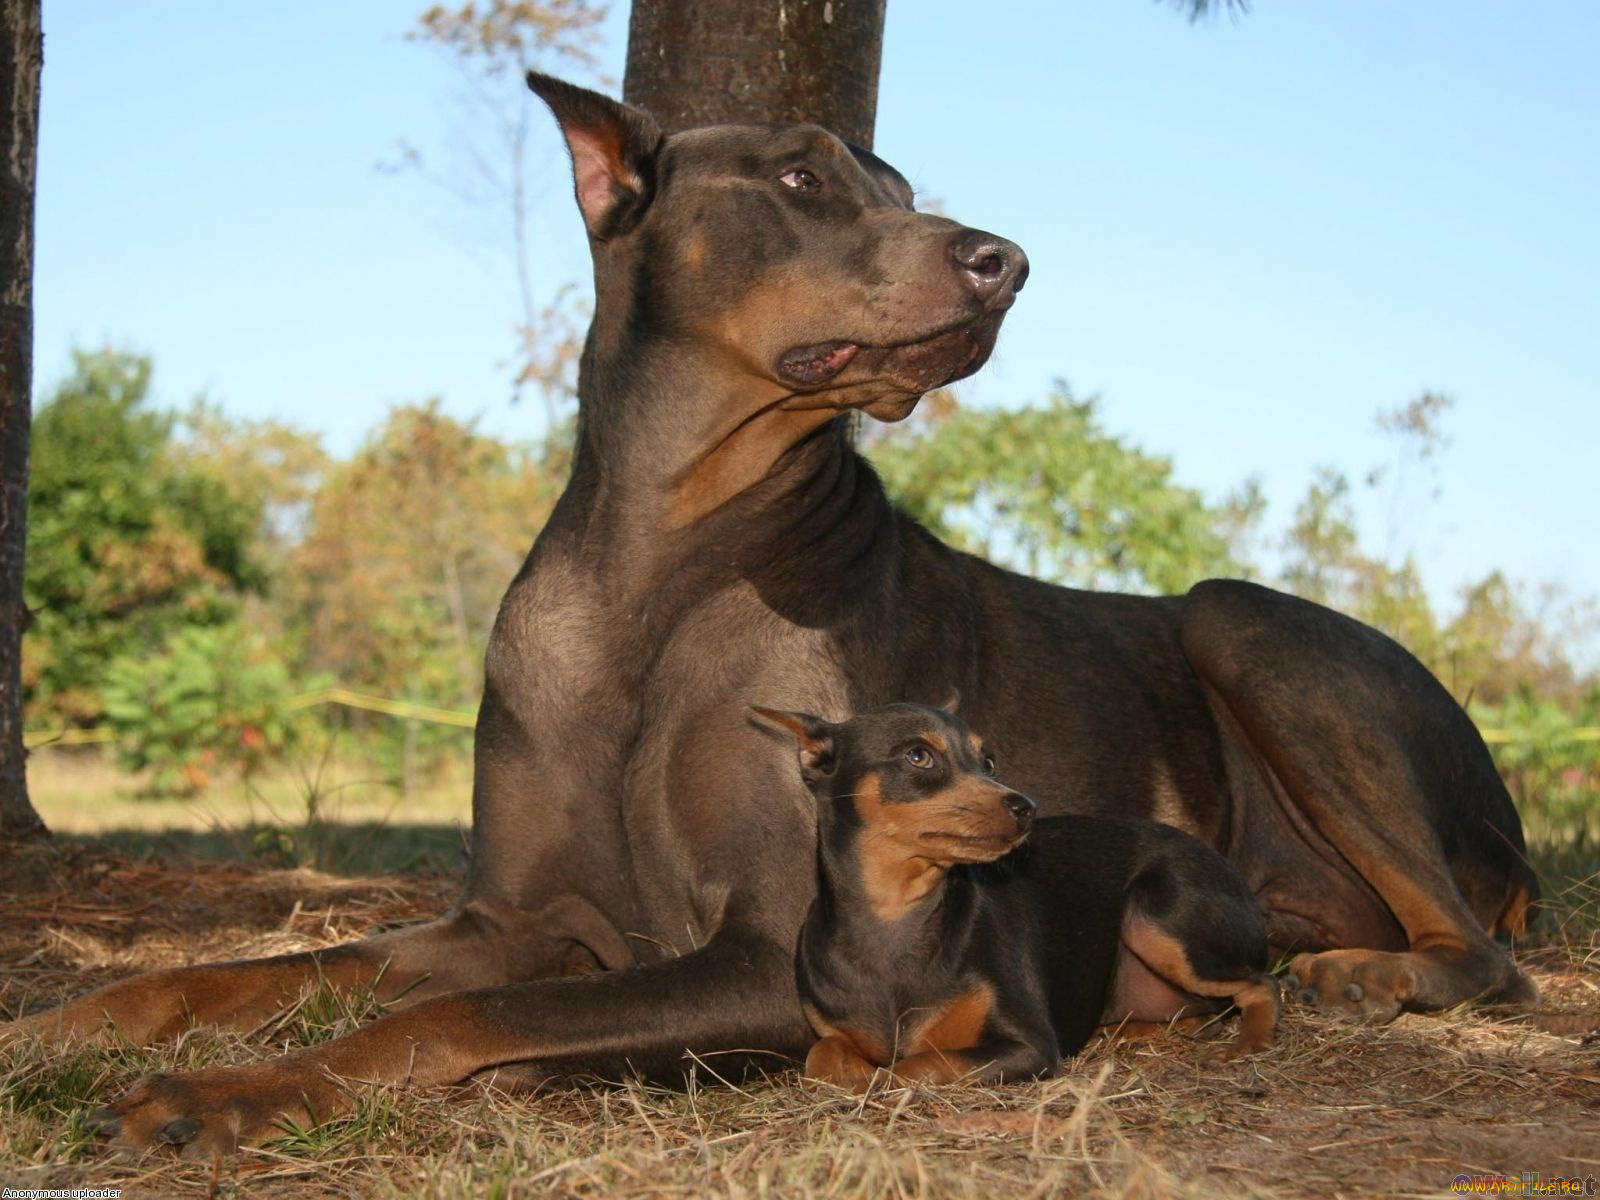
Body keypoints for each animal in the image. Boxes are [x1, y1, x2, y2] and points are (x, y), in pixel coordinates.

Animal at [755, 700, 1280, 1094]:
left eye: (988, 763)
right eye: (918, 756)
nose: (1025, 806)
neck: (895, 916)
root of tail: (1229, 869)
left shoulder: (1028, 1047)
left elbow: (920, 1064)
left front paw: (876, 1079)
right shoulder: (831, 1036)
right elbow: (820, 1056)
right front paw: (851, 1073)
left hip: (1157, 916)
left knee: (1262, 985)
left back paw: (1248, 1044)